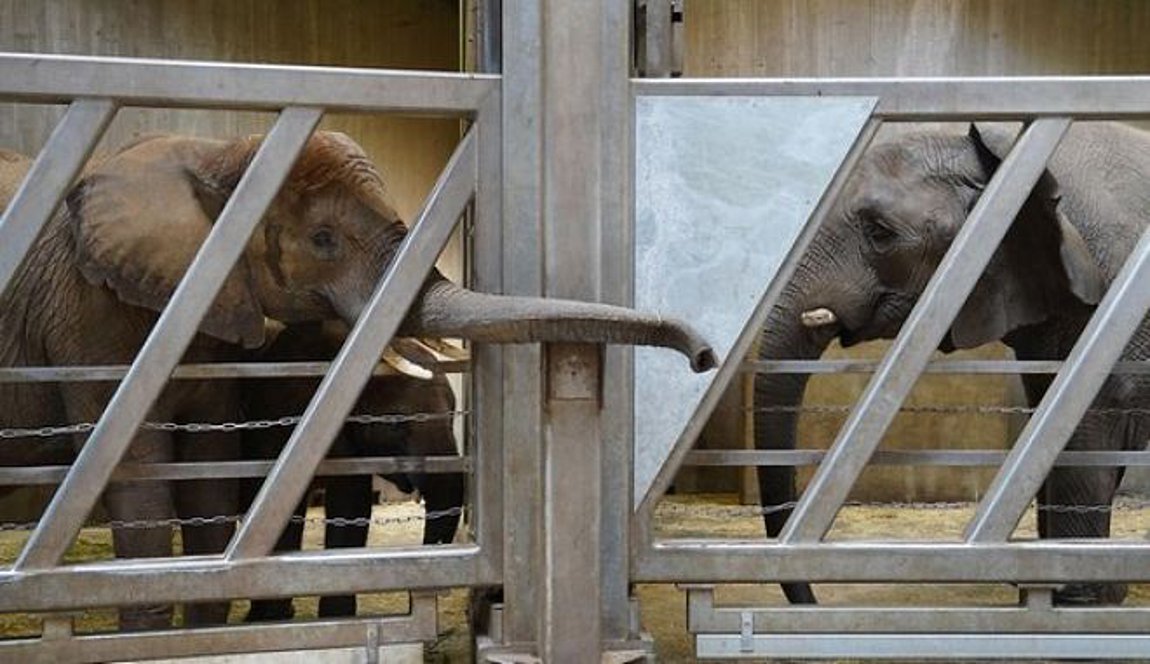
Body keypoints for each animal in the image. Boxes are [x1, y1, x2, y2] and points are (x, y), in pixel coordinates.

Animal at [240, 321, 463, 620]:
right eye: (395, 424)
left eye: (453, 416)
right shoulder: (278, 422)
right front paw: (272, 618)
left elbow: (350, 507)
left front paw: (337, 618)